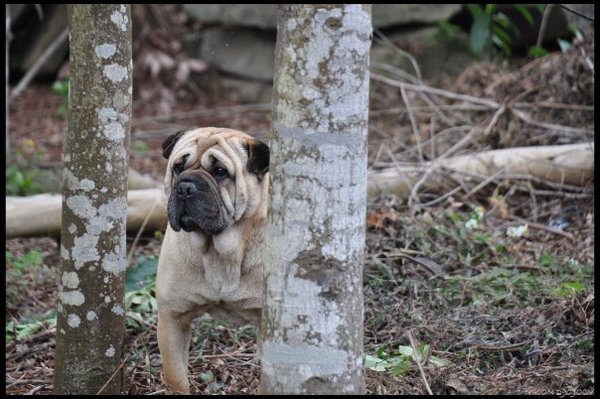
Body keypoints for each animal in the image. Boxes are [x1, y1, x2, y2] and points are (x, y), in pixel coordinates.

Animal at [156, 127, 268, 394]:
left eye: (220, 171)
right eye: (178, 167)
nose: (185, 187)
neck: (219, 251)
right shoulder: (172, 318)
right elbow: (176, 377)